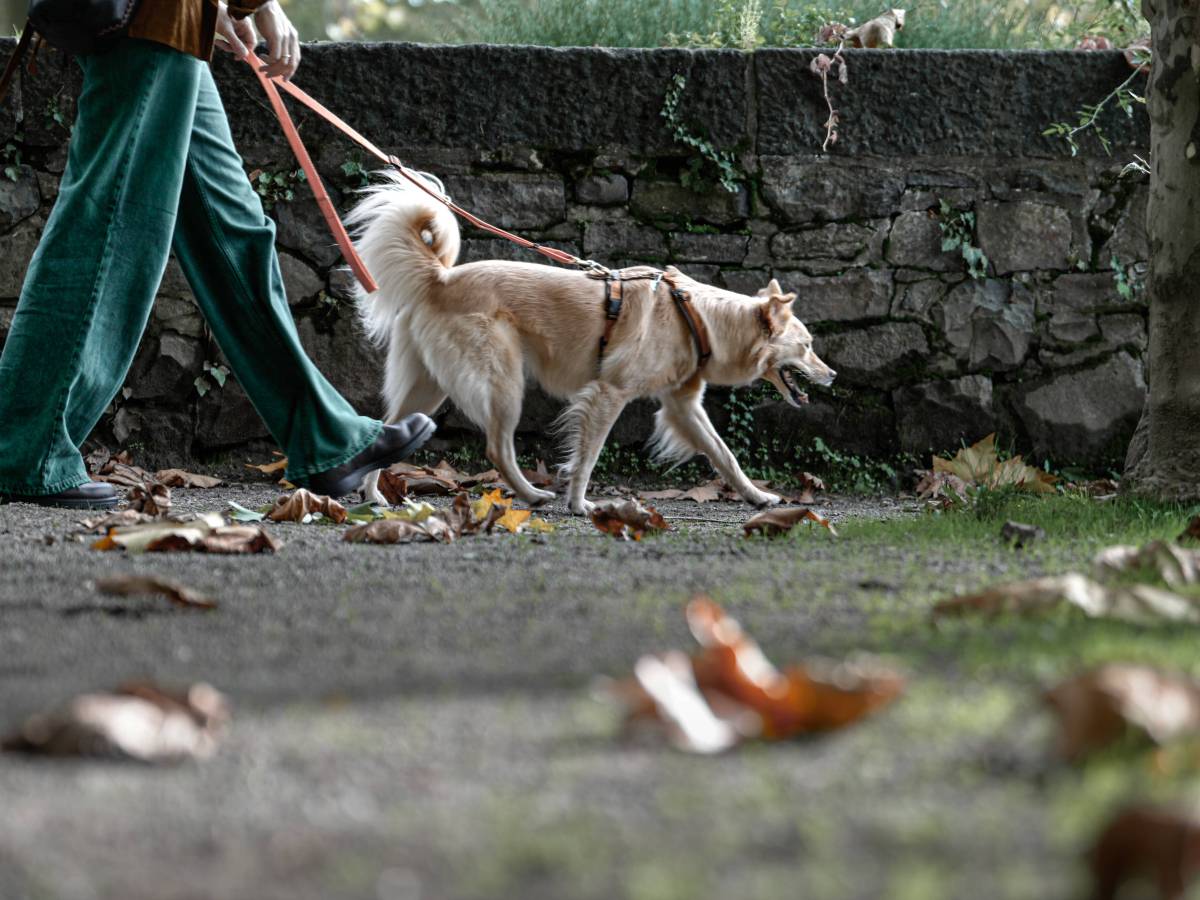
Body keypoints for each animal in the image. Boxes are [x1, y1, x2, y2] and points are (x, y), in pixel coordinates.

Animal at [345, 176, 835, 513]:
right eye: (807, 345)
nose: (833, 375)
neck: (696, 317)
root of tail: (440, 278)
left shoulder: (683, 405)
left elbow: (724, 455)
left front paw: (758, 497)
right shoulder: (608, 394)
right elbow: (588, 455)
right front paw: (580, 504)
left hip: (430, 386)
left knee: (385, 427)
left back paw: (374, 495)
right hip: (502, 382)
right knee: (497, 448)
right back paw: (533, 495)